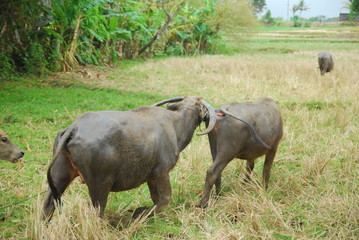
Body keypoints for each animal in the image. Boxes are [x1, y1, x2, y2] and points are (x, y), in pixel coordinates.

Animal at [42, 95, 217, 221]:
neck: (176, 125)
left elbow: (156, 199)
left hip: (60, 175)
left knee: (48, 205)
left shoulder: (151, 177)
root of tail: (75, 128)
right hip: (100, 184)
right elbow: (165, 198)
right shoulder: (161, 172)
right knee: (97, 211)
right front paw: (140, 214)